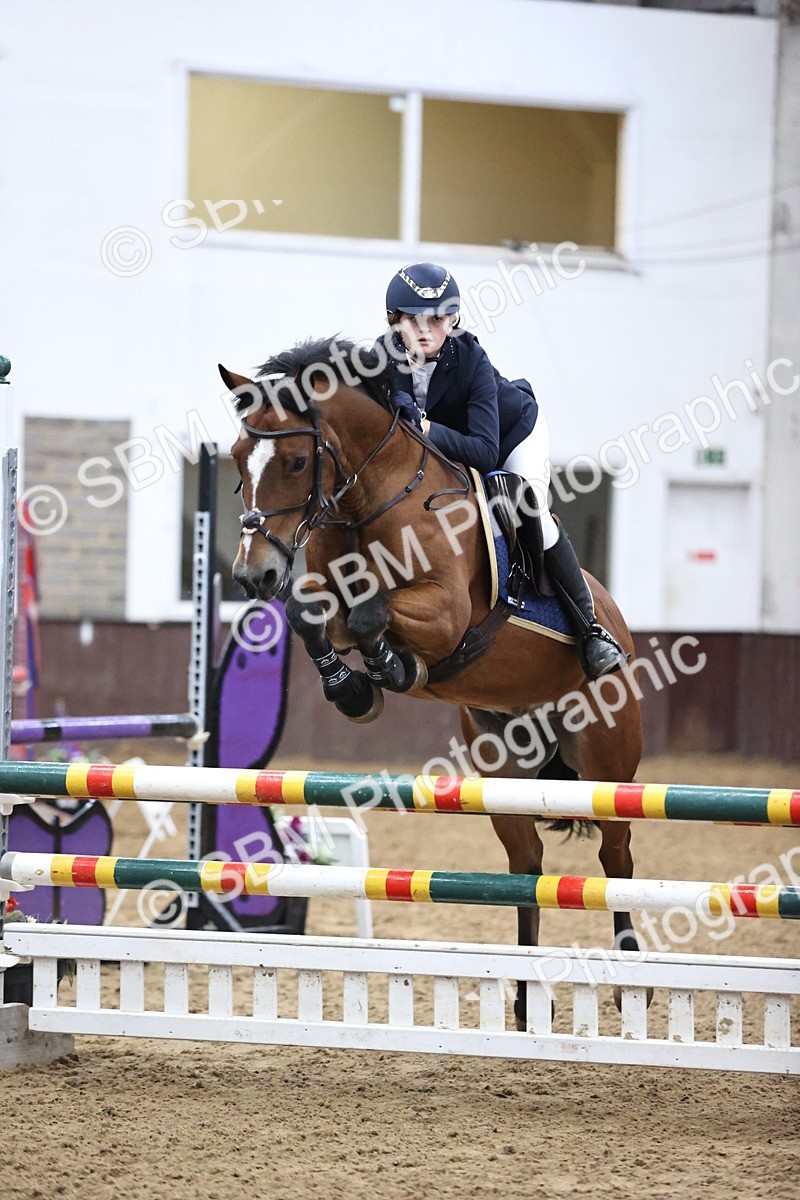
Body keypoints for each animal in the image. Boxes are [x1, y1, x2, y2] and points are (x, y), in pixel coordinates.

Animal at [221, 336, 644, 1027]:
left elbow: (372, 613)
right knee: (527, 866)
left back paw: (635, 983)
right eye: (236, 457)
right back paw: (526, 999)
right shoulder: (324, 593)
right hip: (504, 769)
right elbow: (317, 616)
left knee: (616, 858)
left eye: (294, 460)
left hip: (608, 762)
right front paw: (355, 689)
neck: (370, 498)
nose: (251, 576)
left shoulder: (445, 614)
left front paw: (391, 667)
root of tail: (620, 625)